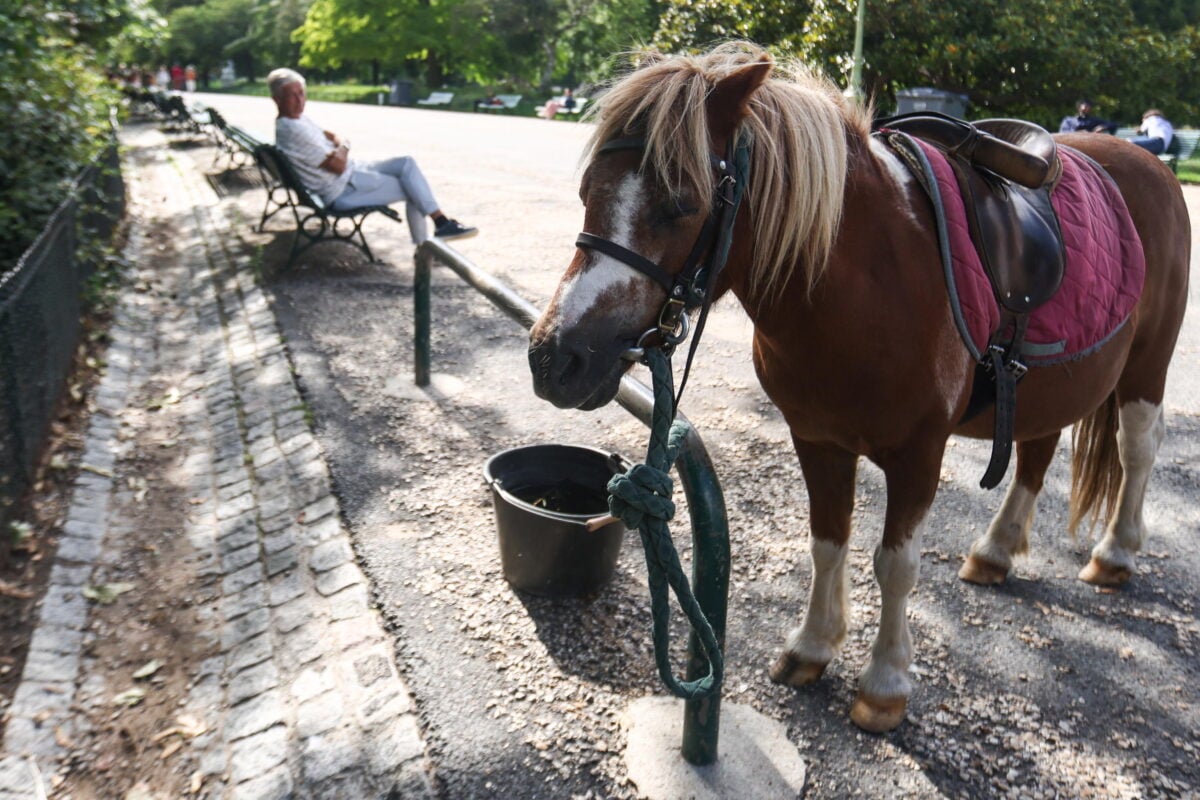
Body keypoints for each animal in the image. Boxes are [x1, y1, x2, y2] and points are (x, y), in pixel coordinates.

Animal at [528, 42, 1190, 734]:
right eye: (587, 191)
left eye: (680, 204)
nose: (554, 359)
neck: (868, 283)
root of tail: (1151, 164)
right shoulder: (817, 440)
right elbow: (828, 543)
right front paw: (812, 646)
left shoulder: (919, 455)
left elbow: (895, 565)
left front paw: (885, 683)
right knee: (1038, 452)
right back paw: (997, 551)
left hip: (1146, 369)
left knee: (1138, 449)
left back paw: (1116, 554)